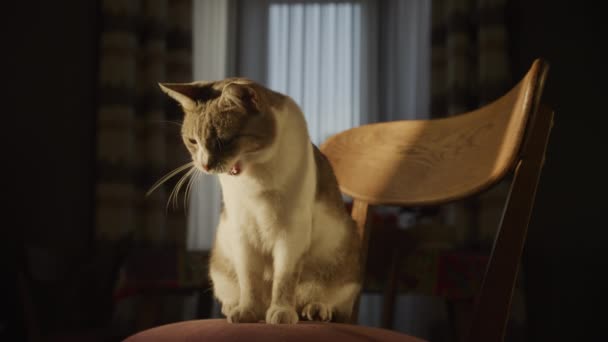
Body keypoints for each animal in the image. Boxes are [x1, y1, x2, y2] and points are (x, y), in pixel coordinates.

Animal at [159, 77, 364, 324]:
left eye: (224, 141)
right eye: (192, 141)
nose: (205, 165)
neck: (253, 176)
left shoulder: (291, 233)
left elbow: (284, 279)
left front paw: (281, 312)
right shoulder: (243, 231)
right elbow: (250, 279)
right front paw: (247, 311)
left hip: (341, 257)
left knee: (327, 299)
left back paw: (315, 309)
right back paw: (233, 306)